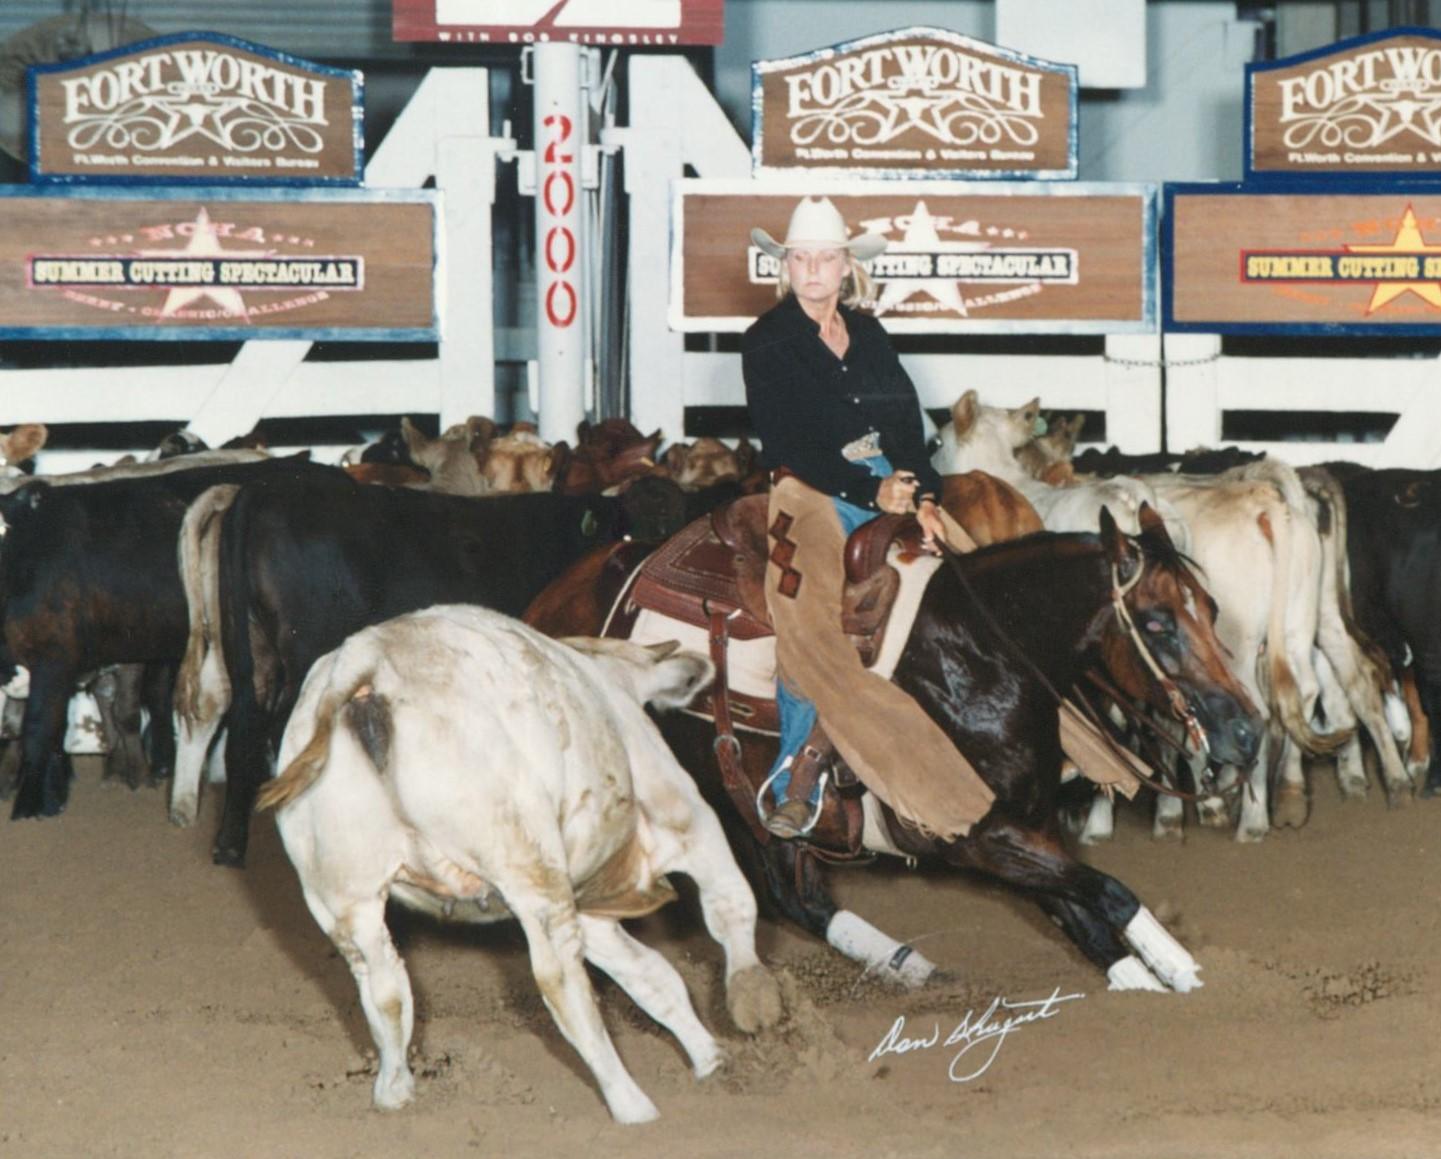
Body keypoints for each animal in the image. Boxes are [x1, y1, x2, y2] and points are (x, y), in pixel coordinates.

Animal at [256, 607, 783, 1118]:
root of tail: (365, 662)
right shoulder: (688, 820)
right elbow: (730, 904)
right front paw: (753, 999)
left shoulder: (587, 905)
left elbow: (653, 975)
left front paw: (710, 1057)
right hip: (527, 864)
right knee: (560, 981)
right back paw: (630, 1103)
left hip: (343, 894)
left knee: (383, 985)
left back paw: (394, 1090)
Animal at [525, 502, 1262, 993]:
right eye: (1156, 622)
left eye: (1211, 609)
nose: (1247, 731)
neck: (980, 652)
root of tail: (550, 600)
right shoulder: (972, 836)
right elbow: (1109, 891)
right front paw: (1179, 966)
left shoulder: (1029, 827)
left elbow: (1084, 911)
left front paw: (1152, 978)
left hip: (756, 815)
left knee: (800, 899)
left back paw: (911, 967)